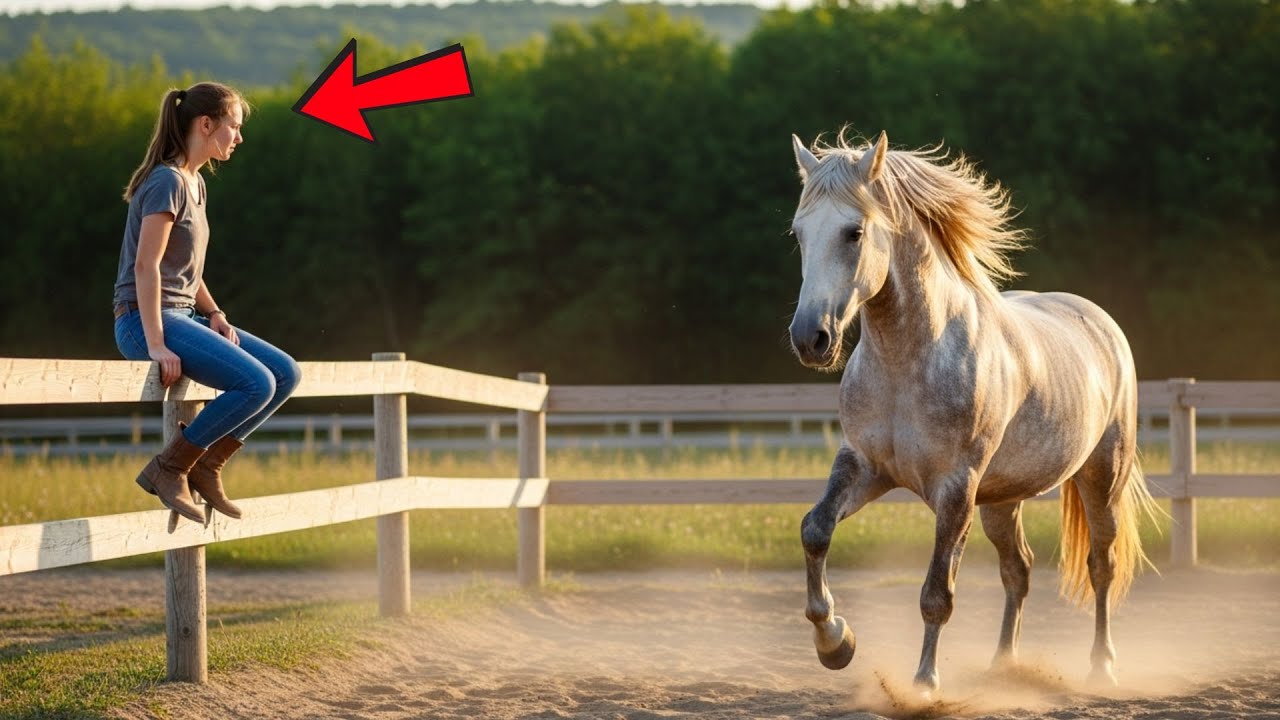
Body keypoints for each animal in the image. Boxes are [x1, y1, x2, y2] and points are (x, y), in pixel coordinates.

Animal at [786, 129, 1158, 692]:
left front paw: (923, 684)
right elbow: (815, 530)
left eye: (854, 232)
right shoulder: (865, 466)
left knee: (1102, 566)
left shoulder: (956, 489)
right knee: (1019, 569)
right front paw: (835, 642)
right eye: (799, 234)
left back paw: (1101, 667)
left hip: (1101, 477)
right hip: (1002, 500)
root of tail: (1100, 321)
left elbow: (937, 593)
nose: (811, 338)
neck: (908, 362)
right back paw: (1002, 664)